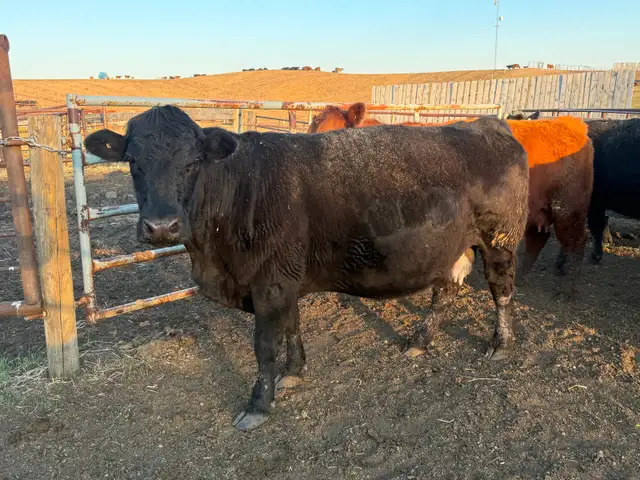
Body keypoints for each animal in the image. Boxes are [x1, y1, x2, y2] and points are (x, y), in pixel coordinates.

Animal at [84, 105, 529, 431]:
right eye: (133, 162)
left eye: (193, 162)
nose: (161, 227)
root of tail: (487, 125)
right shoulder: (284, 279)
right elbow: (292, 327)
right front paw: (294, 371)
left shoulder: (269, 285)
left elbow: (264, 346)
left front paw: (258, 404)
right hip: (454, 246)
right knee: (446, 289)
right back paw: (419, 339)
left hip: (500, 238)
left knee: (501, 289)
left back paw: (500, 343)